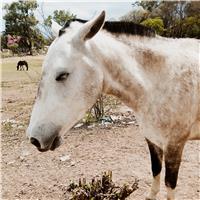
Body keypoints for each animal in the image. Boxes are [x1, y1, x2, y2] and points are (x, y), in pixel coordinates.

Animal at [27, 10, 200, 200]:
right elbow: (155, 170)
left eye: (62, 75)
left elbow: (169, 184)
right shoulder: (152, 139)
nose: (34, 139)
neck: (159, 81)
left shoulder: (174, 146)